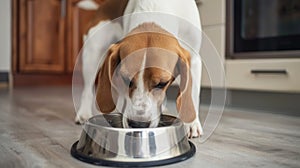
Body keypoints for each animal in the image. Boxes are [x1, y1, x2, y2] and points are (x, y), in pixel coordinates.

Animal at [74, 0, 204, 138]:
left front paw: (192, 123)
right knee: (87, 89)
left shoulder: (194, 59)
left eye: (162, 83)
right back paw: (83, 113)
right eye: (126, 79)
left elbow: (193, 93)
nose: (138, 124)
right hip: (92, 55)